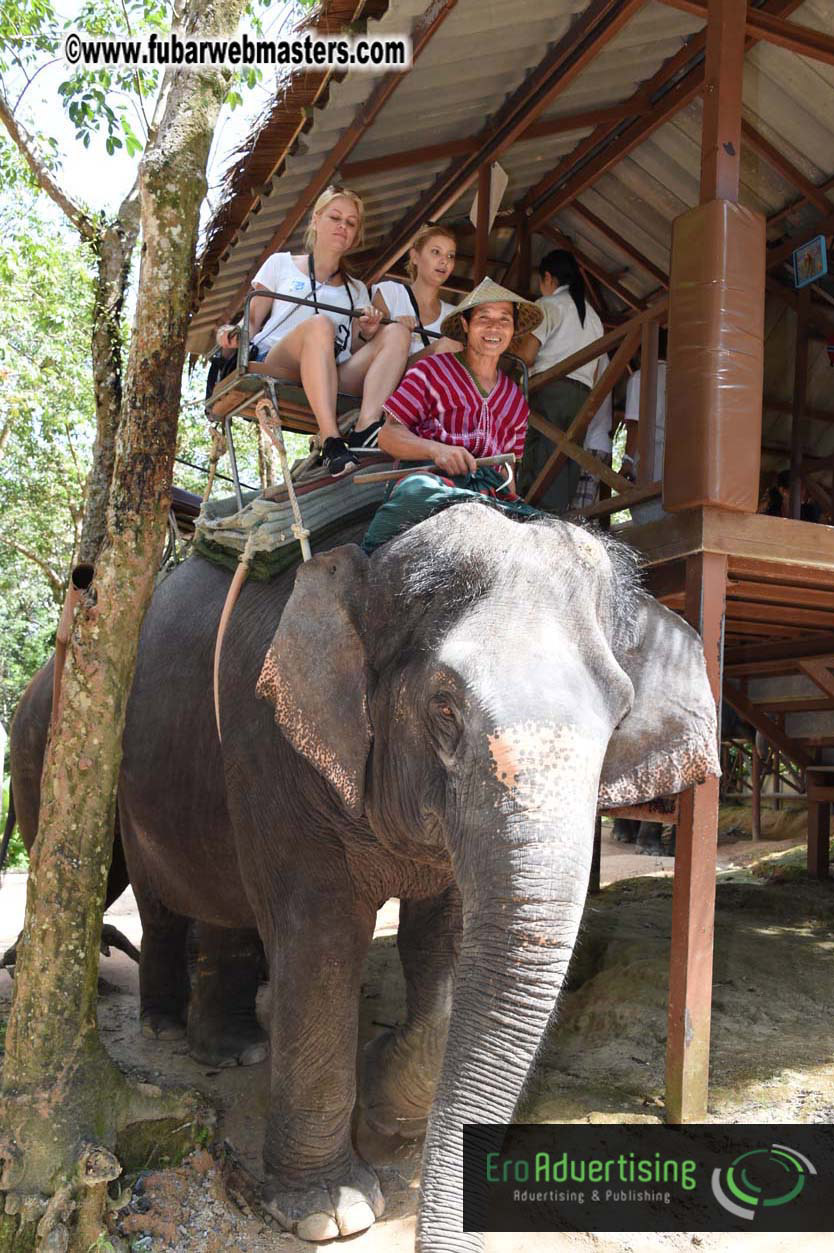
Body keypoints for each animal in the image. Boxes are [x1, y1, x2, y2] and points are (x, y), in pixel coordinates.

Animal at [6, 501, 719, 1250]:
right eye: (444, 707)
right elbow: (322, 939)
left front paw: (383, 1114)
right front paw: (330, 1211)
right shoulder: (273, 741)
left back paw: (236, 1048)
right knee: (157, 895)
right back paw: (170, 1031)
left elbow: (446, 941)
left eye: (619, 715)